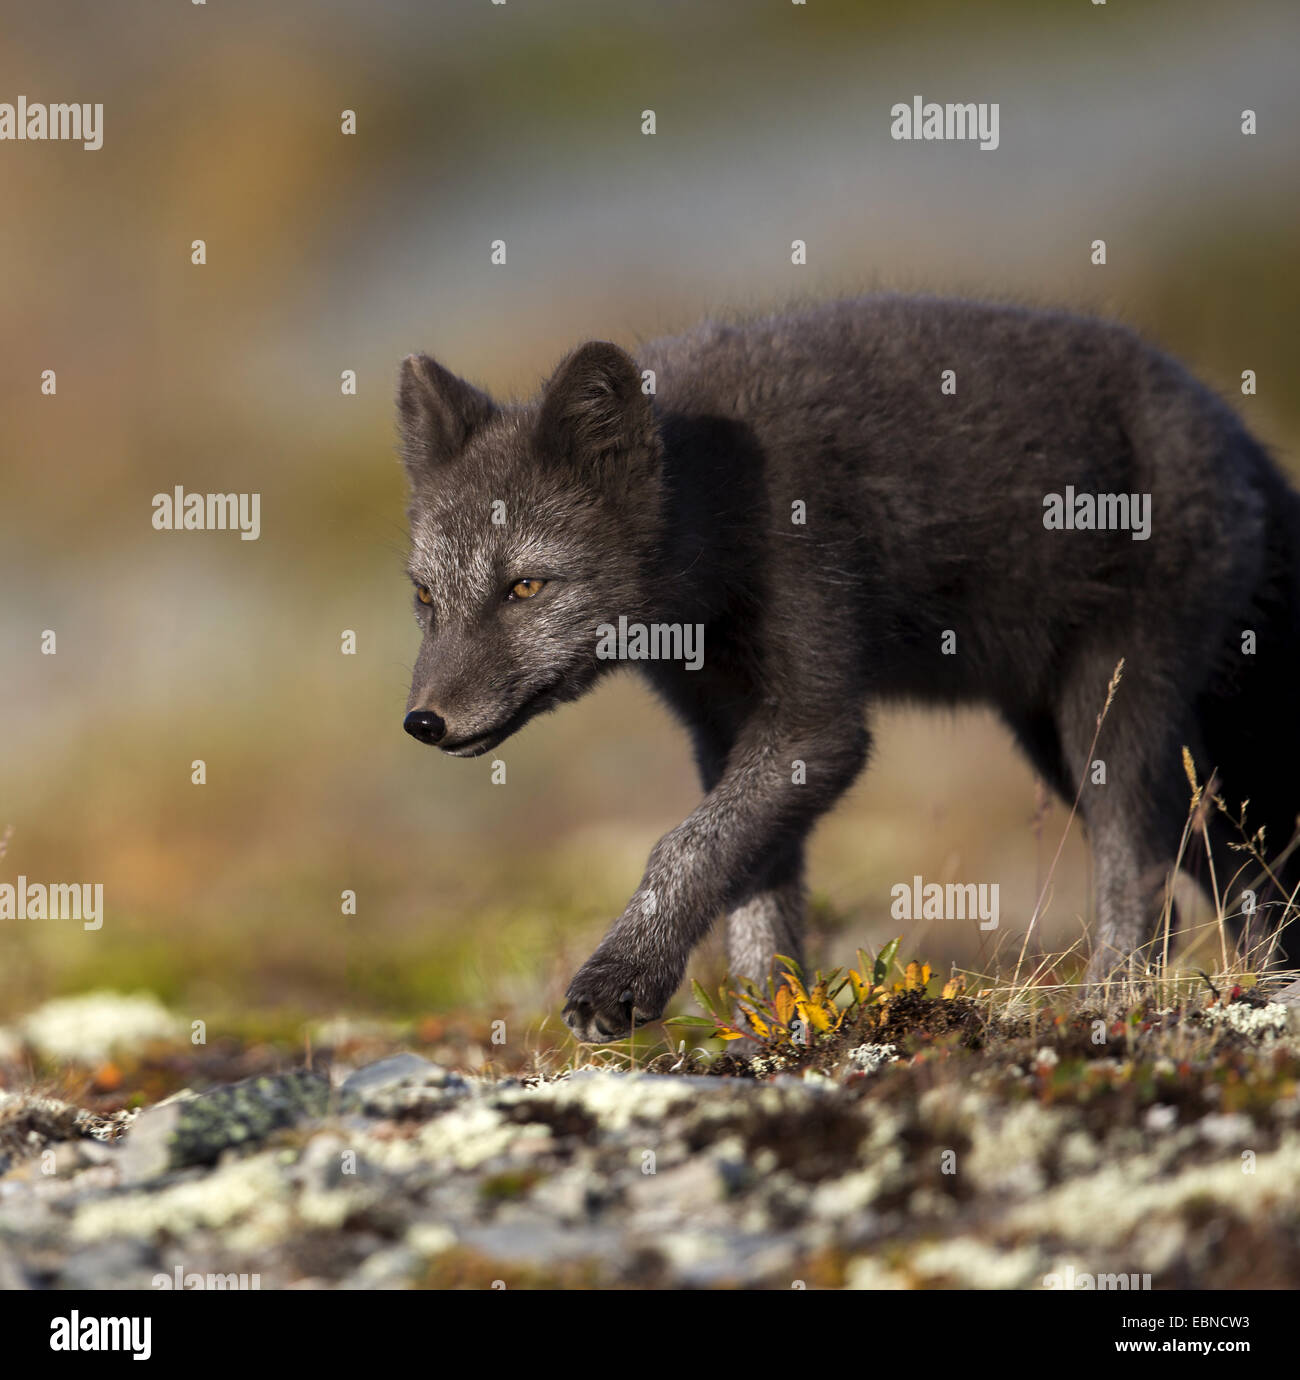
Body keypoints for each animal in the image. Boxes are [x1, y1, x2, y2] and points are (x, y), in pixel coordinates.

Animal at [397, 296, 1300, 1037]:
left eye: (525, 586)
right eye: (424, 596)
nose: (423, 722)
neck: (718, 506)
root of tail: (1236, 434)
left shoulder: (814, 721)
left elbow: (686, 846)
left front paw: (623, 976)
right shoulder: (724, 728)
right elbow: (754, 884)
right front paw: (770, 1023)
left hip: (1109, 710)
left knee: (1146, 867)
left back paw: (1112, 1000)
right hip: (1059, 736)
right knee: (1222, 865)